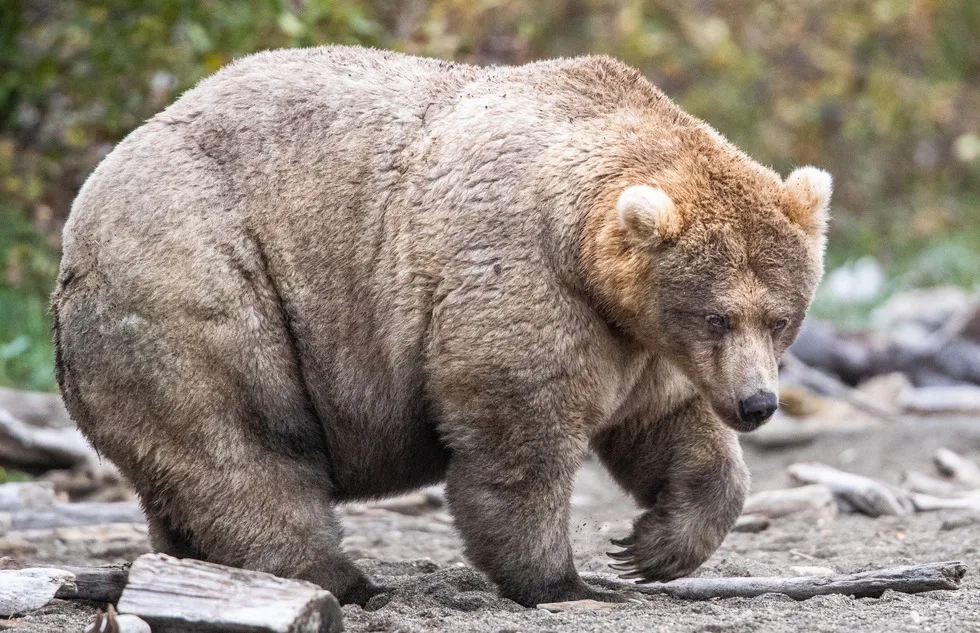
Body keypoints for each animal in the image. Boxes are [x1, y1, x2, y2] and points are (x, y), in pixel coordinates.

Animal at [52, 46, 831, 607]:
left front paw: (651, 547)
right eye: (717, 314)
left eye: (780, 317)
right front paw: (564, 581)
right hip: (201, 283)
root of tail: (82, 214)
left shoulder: (641, 342)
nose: (758, 403)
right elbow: (519, 436)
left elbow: (669, 426)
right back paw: (342, 578)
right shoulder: (523, 278)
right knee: (244, 444)